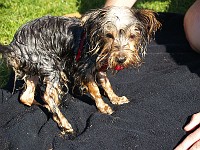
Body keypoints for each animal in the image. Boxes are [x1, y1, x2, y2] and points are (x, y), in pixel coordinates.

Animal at [0, 6, 161, 133]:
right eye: (109, 35)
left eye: (132, 36)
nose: (121, 59)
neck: (98, 44)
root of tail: (14, 46)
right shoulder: (85, 69)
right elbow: (95, 90)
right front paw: (103, 107)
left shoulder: (100, 68)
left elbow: (106, 84)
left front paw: (115, 98)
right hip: (52, 66)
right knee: (46, 95)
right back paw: (63, 121)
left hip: (33, 70)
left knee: (26, 97)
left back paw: (52, 112)